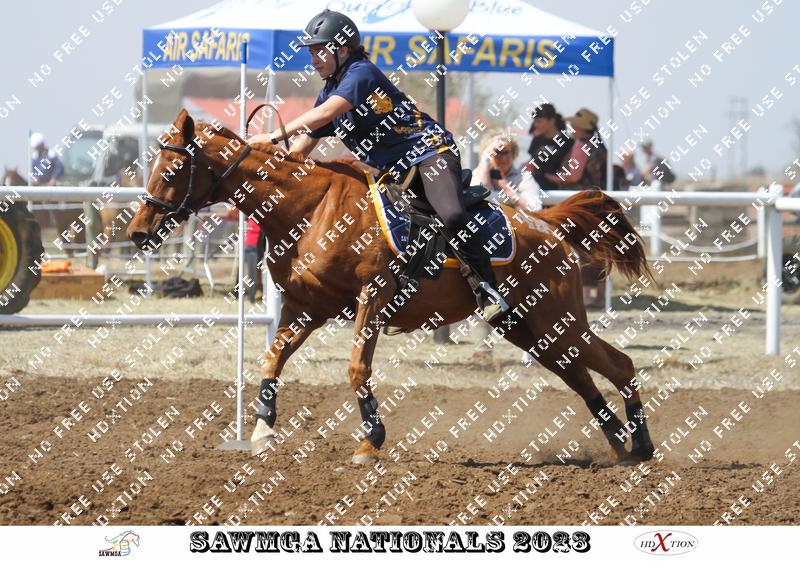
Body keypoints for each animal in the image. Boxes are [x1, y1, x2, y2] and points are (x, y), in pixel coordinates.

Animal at [127, 109, 656, 465]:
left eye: (171, 169)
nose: (137, 231)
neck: (311, 207)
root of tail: (545, 223)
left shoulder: (373, 296)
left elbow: (357, 367)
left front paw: (370, 440)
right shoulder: (304, 308)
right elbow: (273, 359)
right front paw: (261, 431)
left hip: (554, 319)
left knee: (619, 364)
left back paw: (642, 445)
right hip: (529, 328)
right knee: (583, 375)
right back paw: (619, 446)